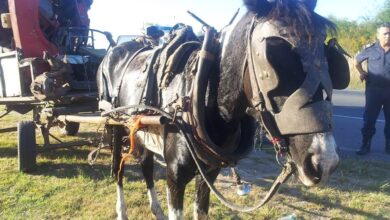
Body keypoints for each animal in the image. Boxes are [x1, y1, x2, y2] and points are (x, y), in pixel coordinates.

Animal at [96, 0, 348, 219]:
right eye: (273, 57)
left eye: (330, 58)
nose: (325, 163)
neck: (202, 98)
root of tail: (115, 49)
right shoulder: (175, 175)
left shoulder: (209, 173)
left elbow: (201, 211)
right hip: (115, 124)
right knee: (119, 169)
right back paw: (121, 211)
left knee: (146, 165)